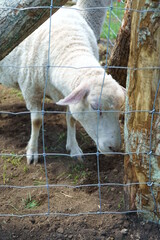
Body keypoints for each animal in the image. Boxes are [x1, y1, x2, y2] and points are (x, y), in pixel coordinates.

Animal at [0, 5, 125, 165]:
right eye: (94, 107)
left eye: (120, 107)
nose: (114, 148)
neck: (69, 44)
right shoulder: (31, 92)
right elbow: (36, 121)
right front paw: (32, 152)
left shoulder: (68, 93)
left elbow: (71, 119)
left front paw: (74, 148)